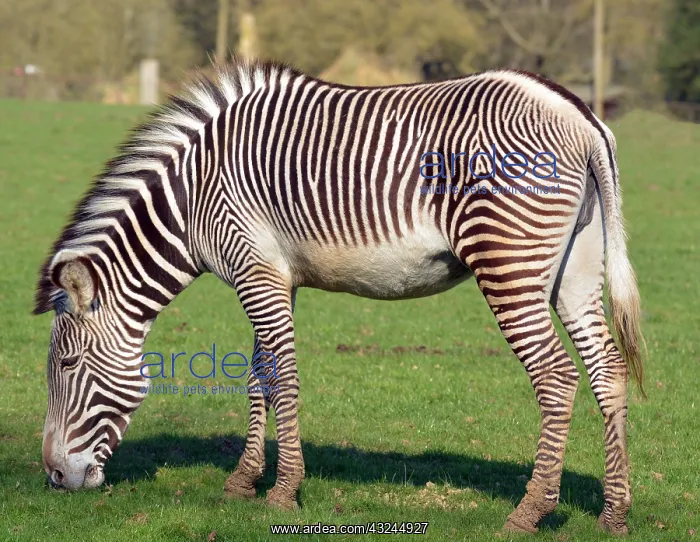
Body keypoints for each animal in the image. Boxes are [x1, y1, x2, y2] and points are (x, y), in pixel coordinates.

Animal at [35, 58, 644, 535]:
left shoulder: (254, 270)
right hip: (576, 267)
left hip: (507, 262)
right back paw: (614, 513)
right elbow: (258, 374)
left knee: (557, 377)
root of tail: (580, 115)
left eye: (66, 364)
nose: (56, 477)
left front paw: (283, 491)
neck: (192, 197)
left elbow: (282, 377)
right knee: (607, 369)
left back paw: (529, 512)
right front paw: (243, 481)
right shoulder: (275, 276)